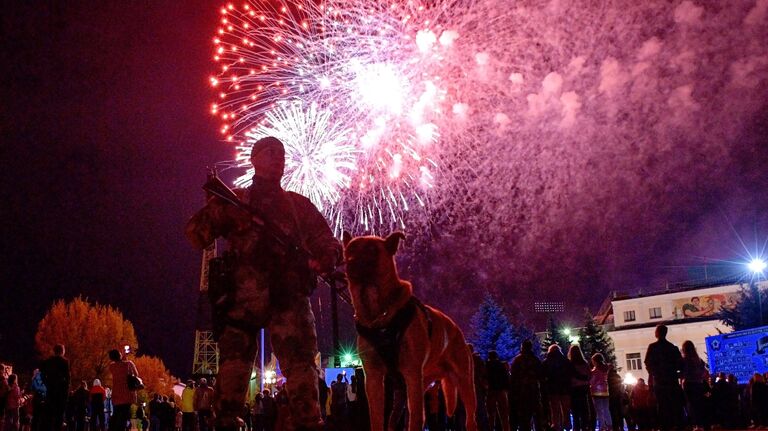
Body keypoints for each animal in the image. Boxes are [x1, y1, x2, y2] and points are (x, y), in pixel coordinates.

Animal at [342, 233, 474, 431]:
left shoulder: (411, 374)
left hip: (462, 383)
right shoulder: (373, 379)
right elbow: (377, 419)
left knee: (468, 418)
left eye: (372, 250)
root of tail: (457, 329)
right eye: (350, 249)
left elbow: (415, 419)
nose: (350, 263)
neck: (379, 315)